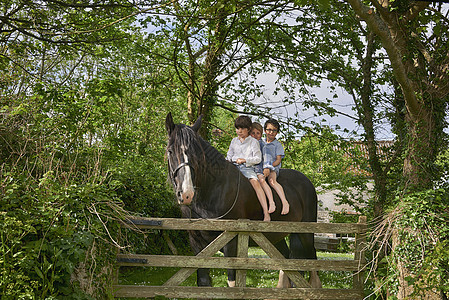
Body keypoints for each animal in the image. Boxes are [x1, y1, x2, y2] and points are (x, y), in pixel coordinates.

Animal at [164, 112, 322, 288]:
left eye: (196, 153)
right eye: (170, 151)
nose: (186, 193)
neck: (213, 189)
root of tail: (307, 182)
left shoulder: (231, 241)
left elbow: (232, 281)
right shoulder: (196, 242)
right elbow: (203, 281)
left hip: (305, 233)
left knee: (312, 261)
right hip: (274, 236)